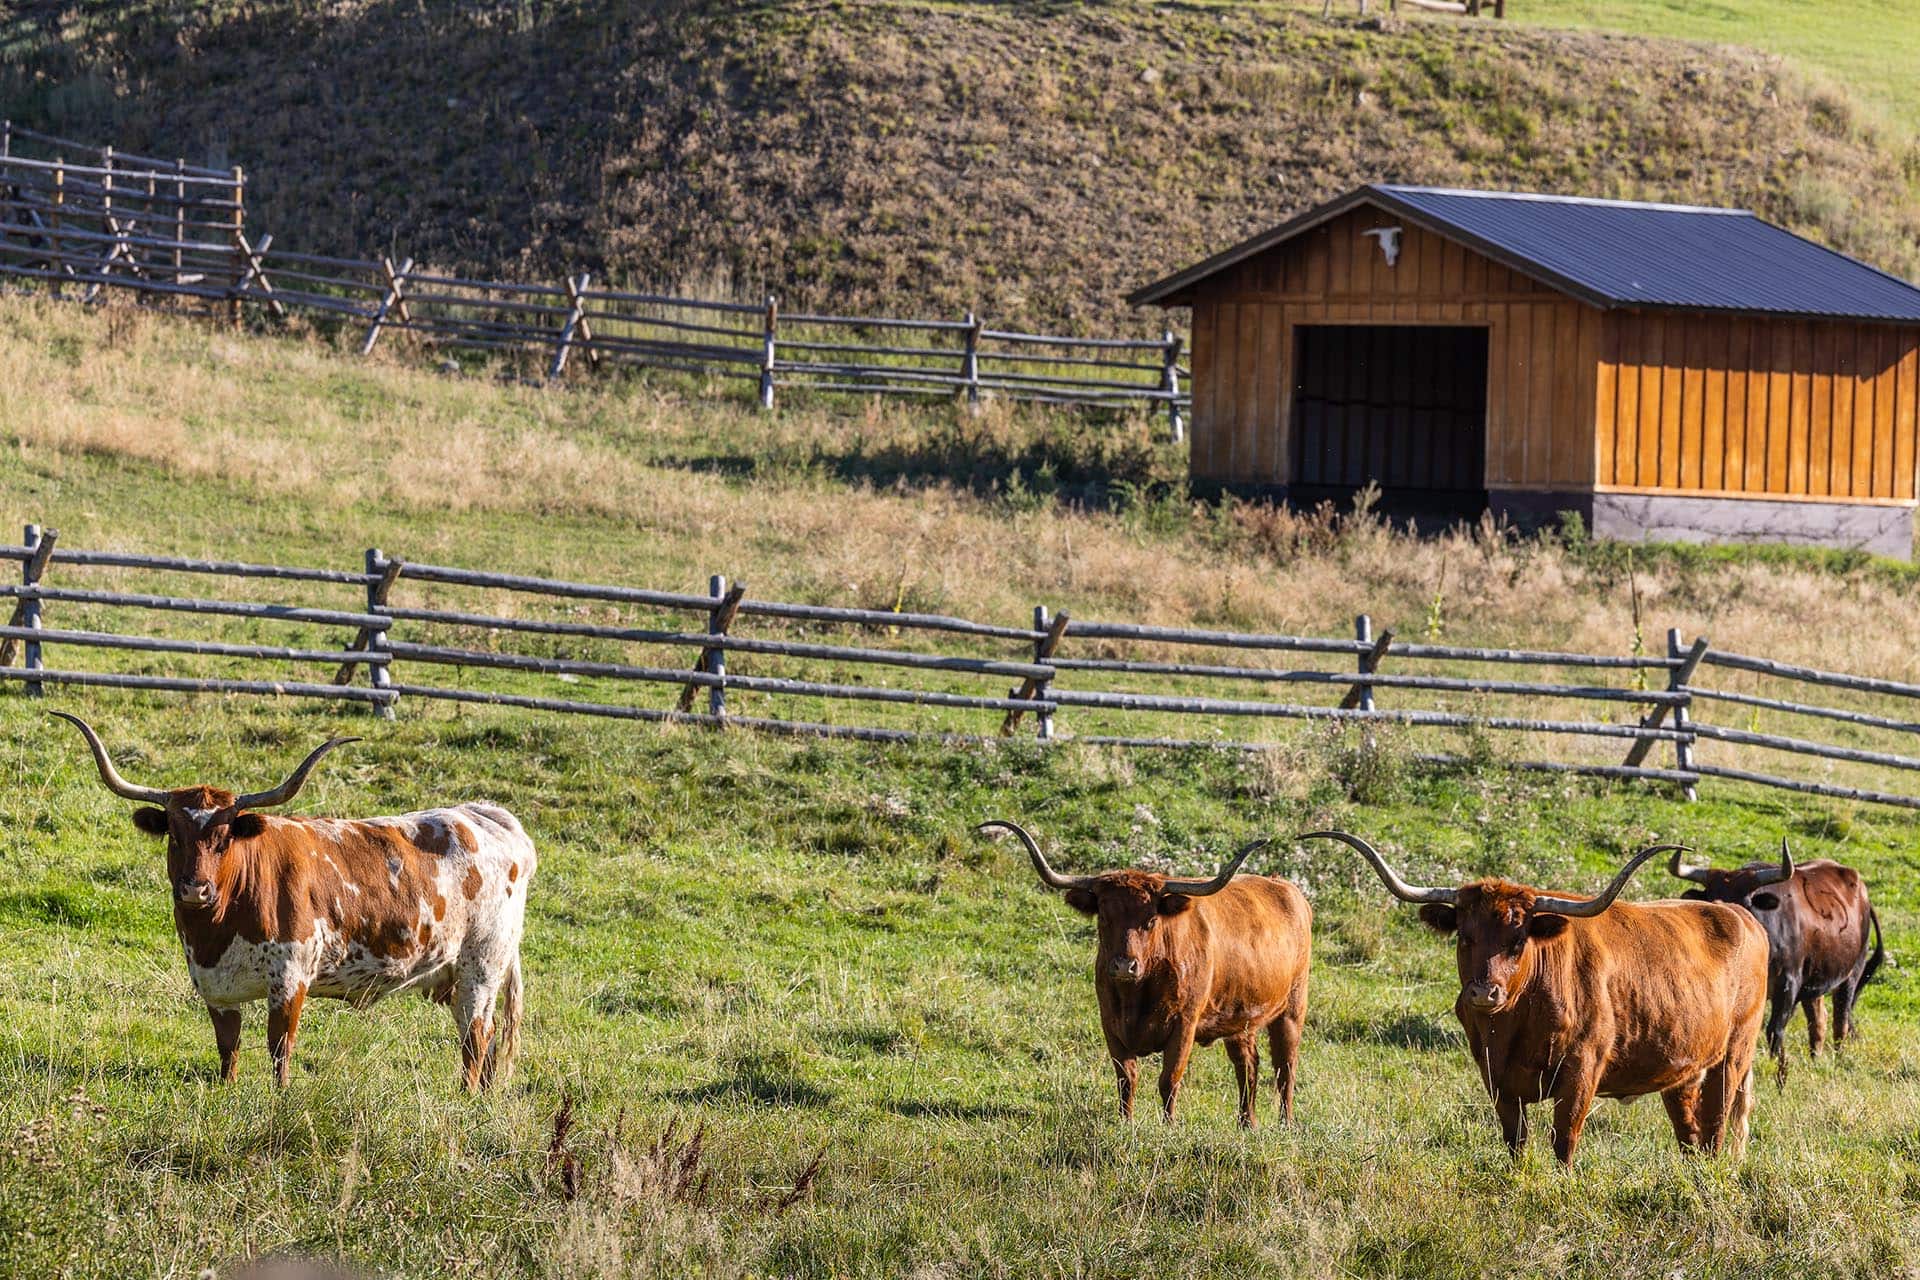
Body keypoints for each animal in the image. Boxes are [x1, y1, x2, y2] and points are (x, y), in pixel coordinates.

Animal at [53, 712, 535, 1092]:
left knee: (475, 1036)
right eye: (174, 835)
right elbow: (228, 1046)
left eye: (224, 838)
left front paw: (279, 1096)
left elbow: (279, 1046)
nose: (195, 890)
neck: (217, 930)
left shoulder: (290, 977)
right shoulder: (214, 986)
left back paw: (466, 1097)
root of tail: (485, 814)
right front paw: (227, 1091)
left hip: (482, 966)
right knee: (487, 1038)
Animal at [978, 819, 1311, 1127]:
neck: (1136, 995)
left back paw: (1285, 1123)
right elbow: (1127, 1077)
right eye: (1104, 917)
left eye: (1151, 920)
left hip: (1292, 1009)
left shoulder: (1184, 1024)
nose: (1125, 966)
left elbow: (1169, 1078)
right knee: (1248, 1066)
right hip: (1241, 1020)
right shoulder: (1110, 1023)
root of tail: (1287, 889)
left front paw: (1169, 1125)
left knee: (1285, 1066)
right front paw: (1126, 1122)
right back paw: (1246, 1124)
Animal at [1304, 830, 1780, 1164]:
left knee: (1716, 1127)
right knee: (1690, 1132)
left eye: (1518, 940)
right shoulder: (1494, 1076)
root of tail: (1740, 916)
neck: (1514, 1023)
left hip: (1733, 1056)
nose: (1483, 991)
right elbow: (1515, 1139)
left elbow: (1564, 1138)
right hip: (1684, 1068)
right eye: (1465, 936)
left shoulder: (1583, 1069)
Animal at [1668, 841, 1883, 1074]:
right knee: (1818, 1021)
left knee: (1840, 1021)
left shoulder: (1788, 985)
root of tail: (1861, 891)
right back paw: (1815, 1060)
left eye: (1746, 902)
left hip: (1852, 973)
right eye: (1708, 897)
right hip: (1815, 981)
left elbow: (1775, 1030)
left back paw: (1837, 1058)